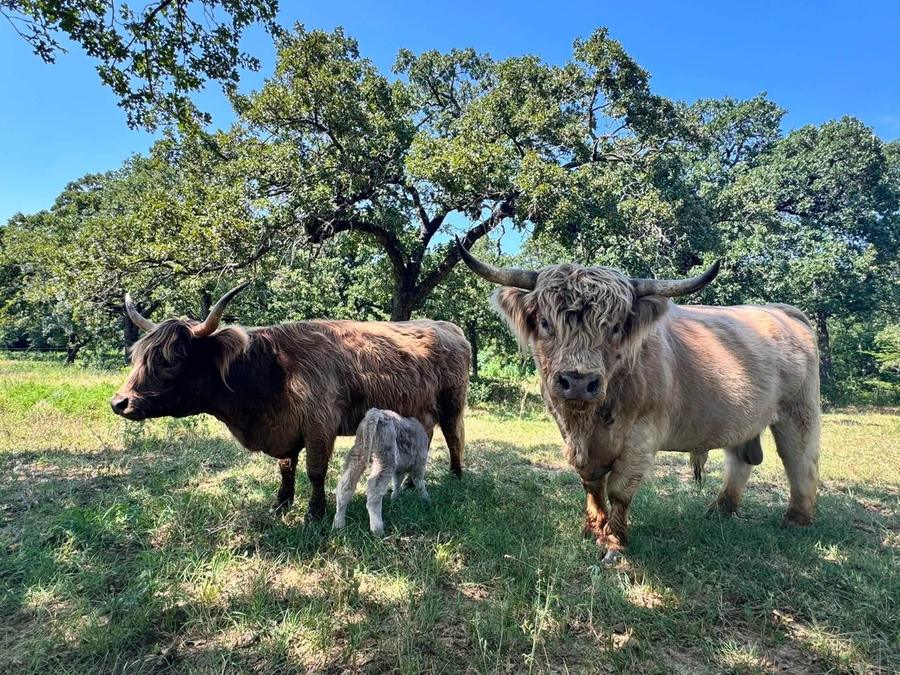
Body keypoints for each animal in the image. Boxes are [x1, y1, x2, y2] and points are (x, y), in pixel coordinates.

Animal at [110, 283, 470, 523]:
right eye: (137, 356)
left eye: (171, 359)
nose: (119, 403)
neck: (272, 370)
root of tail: (446, 326)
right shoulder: (286, 427)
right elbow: (286, 468)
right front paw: (281, 504)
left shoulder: (319, 426)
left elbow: (315, 471)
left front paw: (315, 513)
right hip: (417, 410)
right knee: (426, 437)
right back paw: (408, 483)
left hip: (451, 402)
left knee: (453, 437)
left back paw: (456, 478)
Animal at [456, 239, 820, 564]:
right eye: (546, 323)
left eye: (616, 327)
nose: (578, 381)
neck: (589, 422)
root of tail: (781, 311)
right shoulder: (568, 431)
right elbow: (591, 483)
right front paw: (592, 528)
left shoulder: (642, 436)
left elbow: (619, 489)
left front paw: (614, 544)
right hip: (742, 417)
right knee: (741, 460)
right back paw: (720, 509)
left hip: (798, 409)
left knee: (800, 458)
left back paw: (796, 520)